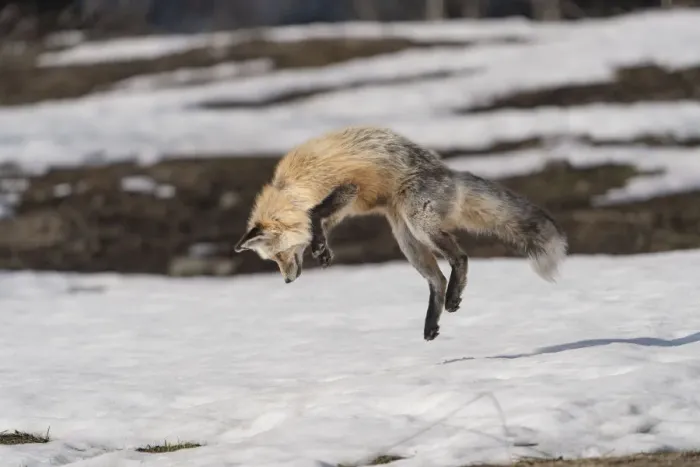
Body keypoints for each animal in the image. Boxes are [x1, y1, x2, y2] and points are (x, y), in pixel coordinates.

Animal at [234, 125, 567, 342]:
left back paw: (453, 295)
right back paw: (433, 322)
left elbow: (315, 215)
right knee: (437, 279)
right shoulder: (342, 206)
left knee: (460, 257)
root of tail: (449, 173)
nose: (287, 281)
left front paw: (319, 243)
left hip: (419, 222)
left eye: (279, 255)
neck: (292, 190)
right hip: (407, 240)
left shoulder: (347, 188)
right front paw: (322, 248)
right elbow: (321, 223)